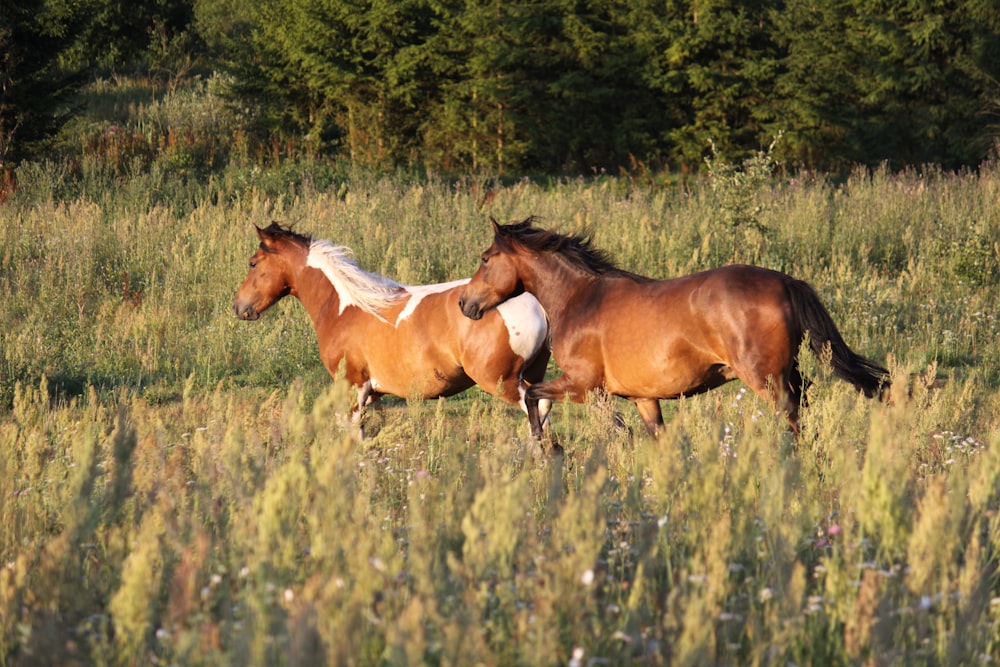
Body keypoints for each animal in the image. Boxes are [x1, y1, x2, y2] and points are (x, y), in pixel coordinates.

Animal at [233, 222, 552, 436]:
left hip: (501, 381)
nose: (239, 307)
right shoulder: (370, 394)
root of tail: (538, 304)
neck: (343, 306)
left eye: (252, 263)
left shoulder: (353, 388)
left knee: (537, 411)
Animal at [460, 217, 892, 440]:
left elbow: (532, 395)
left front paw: (543, 444)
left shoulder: (582, 385)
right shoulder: (642, 398)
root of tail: (786, 282)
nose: (465, 304)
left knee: (791, 421)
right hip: (789, 374)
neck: (580, 298)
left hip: (766, 380)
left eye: (485, 258)